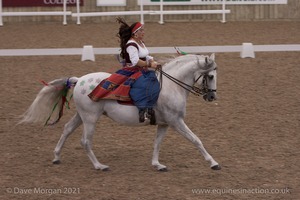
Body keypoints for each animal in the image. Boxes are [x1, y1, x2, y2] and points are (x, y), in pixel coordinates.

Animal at [19, 54, 220, 171]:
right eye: (210, 76)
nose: (212, 97)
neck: (171, 86)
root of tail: (79, 80)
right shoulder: (176, 121)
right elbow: (196, 140)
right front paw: (213, 162)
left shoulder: (164, 124)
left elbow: (157, 144)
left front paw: (157, 164)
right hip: (90, 119)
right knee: (85, 141)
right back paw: (99, 166)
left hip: (81, 116)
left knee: (67, 130)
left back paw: (56, 157)